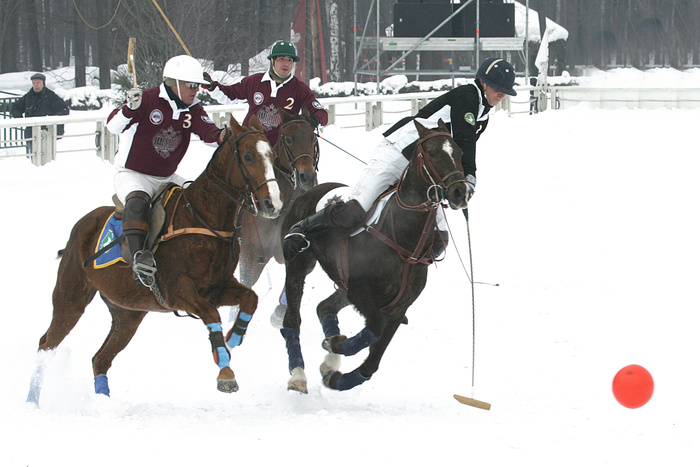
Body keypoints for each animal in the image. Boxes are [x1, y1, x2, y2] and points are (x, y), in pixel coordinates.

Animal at [25, 114, 282, 406]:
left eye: (272, 155)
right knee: (47, 343)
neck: (203, 218)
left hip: (128, 312)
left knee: (100, 358)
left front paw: (234, 338)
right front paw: (225, 371)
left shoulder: (218, 287)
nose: (272, 204)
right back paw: (32, 401)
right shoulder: (177, 290)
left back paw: (103, 402)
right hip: (71, 296)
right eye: (248, 157)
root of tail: (80, 226)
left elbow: (251, 298)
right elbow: (211, 313)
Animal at [276, 121, 468, 394]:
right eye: (431, 152)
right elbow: (374, 327)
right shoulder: (361, 292)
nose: (460, 192)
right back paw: (298, 375)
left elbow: (372, 361)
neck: (403, 240)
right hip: (299, 266)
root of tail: (307, 193)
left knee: (324, 306)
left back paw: (329, 363)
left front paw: (335, 374)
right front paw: (335, 344)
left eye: (459, 152)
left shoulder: (398, 307)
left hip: (343, 287)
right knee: (292, 319)